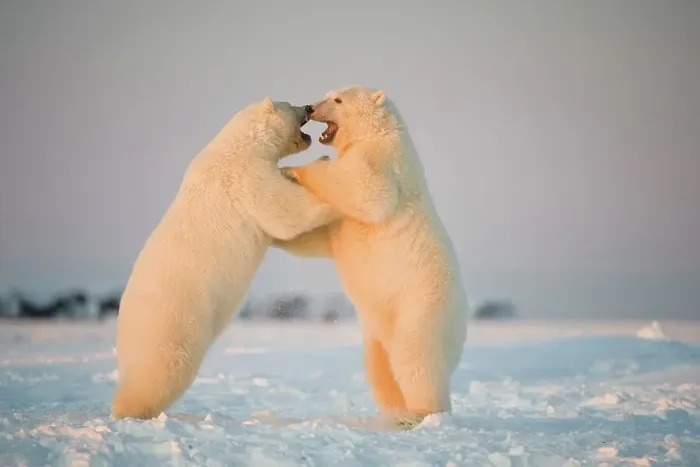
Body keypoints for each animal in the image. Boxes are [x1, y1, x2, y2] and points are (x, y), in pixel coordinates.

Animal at [111, 97, 339, 420]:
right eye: (290, 104)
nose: (307, 106)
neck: (240, 146)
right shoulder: (245, 179)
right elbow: (285, 211)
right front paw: (325, 168)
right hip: (172, 323)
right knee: (162, 373)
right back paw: (128, 409)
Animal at [275, 86, 469, 428]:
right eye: (328, 93)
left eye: (337, 99)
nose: (310, 107)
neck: (380, 132)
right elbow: (326, 236)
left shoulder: (383, 161)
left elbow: (366, 192)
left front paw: (294, 170)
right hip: (377, 328)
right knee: (380, 366)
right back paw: (393, 412)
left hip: (419, 307)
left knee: (416, 359)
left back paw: (421, 413)